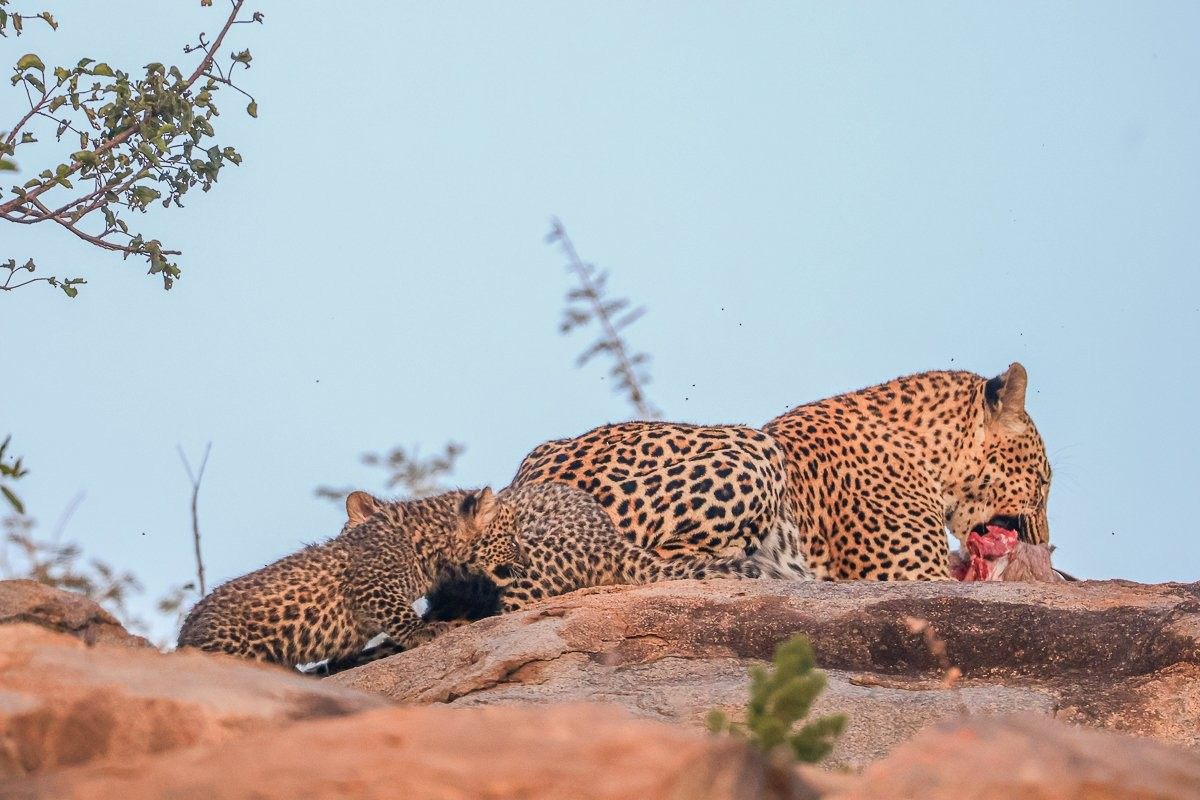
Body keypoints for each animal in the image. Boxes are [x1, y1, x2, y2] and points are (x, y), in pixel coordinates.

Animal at [177, 487, 525, 667]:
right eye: (512, 539)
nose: (523, 557)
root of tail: (184, 635)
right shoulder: (372, 585)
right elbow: (397, 614)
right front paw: (425, 631)